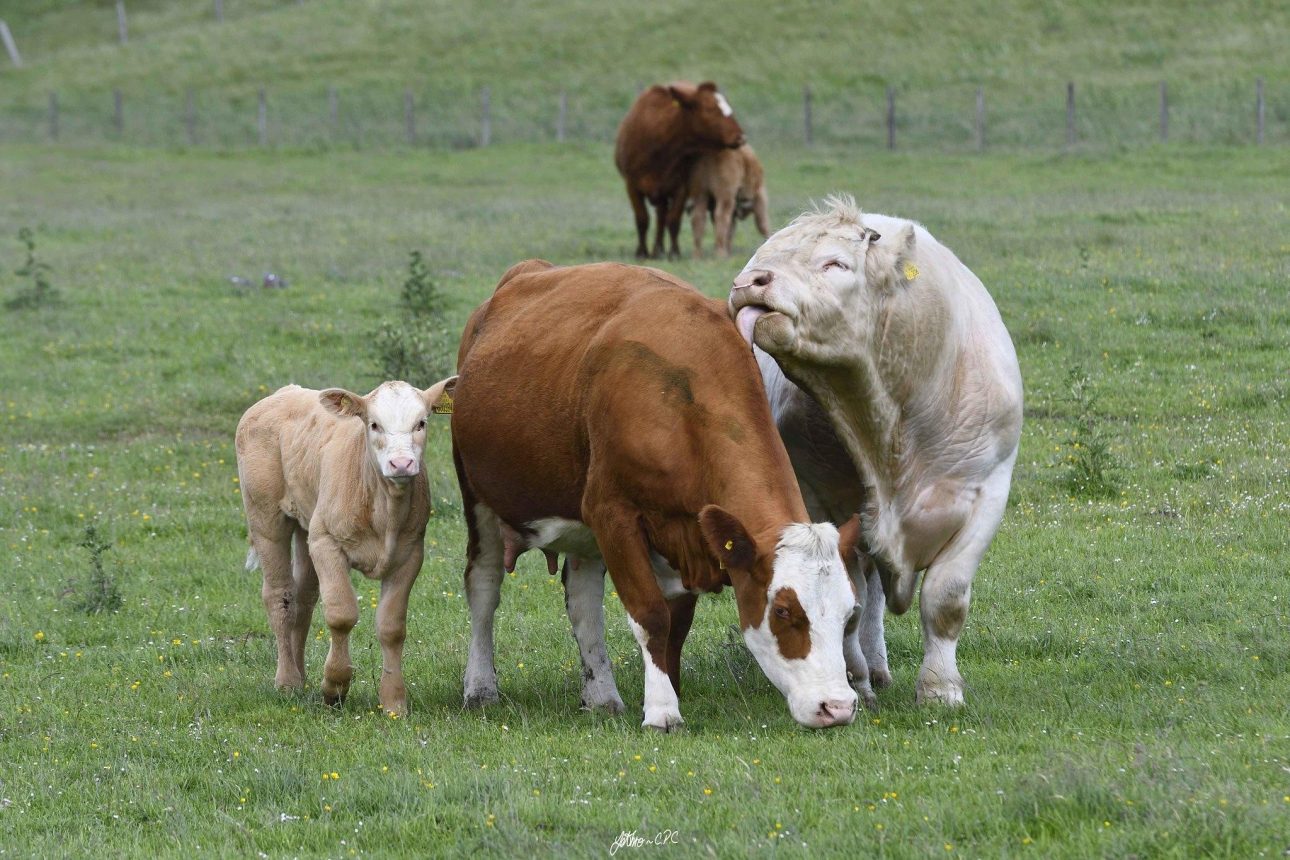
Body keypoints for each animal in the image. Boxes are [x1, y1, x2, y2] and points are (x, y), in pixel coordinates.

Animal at [237, 379, 454, 716]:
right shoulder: (327, 542)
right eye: (374, 424)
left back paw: (300, 675)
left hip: (307, 526)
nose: (401, 463)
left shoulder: (410, 553)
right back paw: (287, 681)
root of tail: (283, 393)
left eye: (421, 423)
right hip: (266, 517)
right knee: (280, 596)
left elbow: (392, 626)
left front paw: (393, 700)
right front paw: (334, 687)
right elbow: (341, 614)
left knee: (303, 599)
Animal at [448, 259, 861, 732]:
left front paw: (668, 693)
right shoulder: (612, 513)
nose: (838, 707)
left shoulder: (688, 535)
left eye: (850, 613)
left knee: (584, 602)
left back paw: (602, 696)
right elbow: (651, 615)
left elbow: (675, 626)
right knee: (483, 585)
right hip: (478, 496)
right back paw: (480, 687)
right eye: (783, 611)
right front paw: (663, 710)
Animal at [614, 82, 748, 260]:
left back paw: (658, 249)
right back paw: (656, 250)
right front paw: (641, 252)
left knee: (662, 217)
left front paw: (674, 252)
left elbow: (673, 220)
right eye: (709, 109)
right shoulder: (632, 186)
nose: (740, 137)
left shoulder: (680, 188)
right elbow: (642, 219)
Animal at [732, 198, 1021, 711]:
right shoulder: (821, 501)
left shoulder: (988, 489)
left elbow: (946, 598)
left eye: (835, 263)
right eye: (764, 256)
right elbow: (848, 597)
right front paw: (853, 678)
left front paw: (940, 689)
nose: (750, 281)